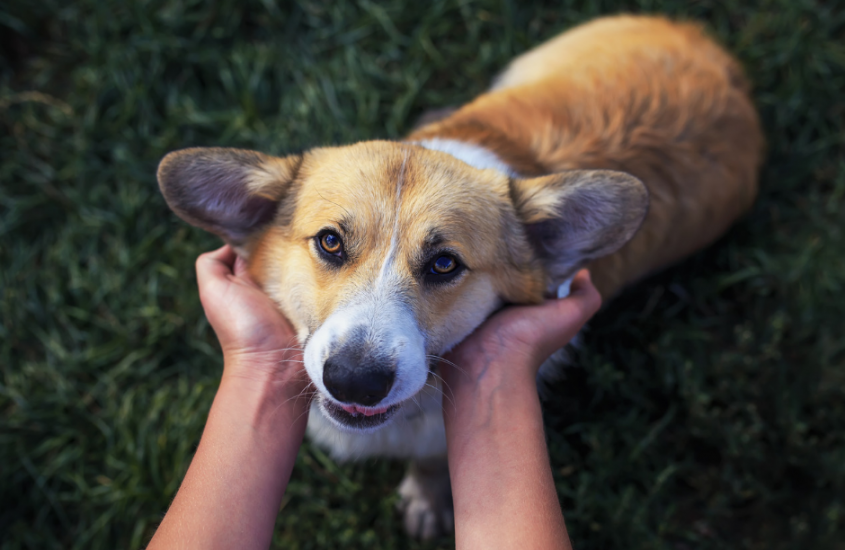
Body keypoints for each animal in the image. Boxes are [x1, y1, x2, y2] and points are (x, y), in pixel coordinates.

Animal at [155, 15, 760, 540]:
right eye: (330, 242)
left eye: (445, 264)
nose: (354, 380)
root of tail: (717, 54)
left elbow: (429, 464)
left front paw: (426, 502)